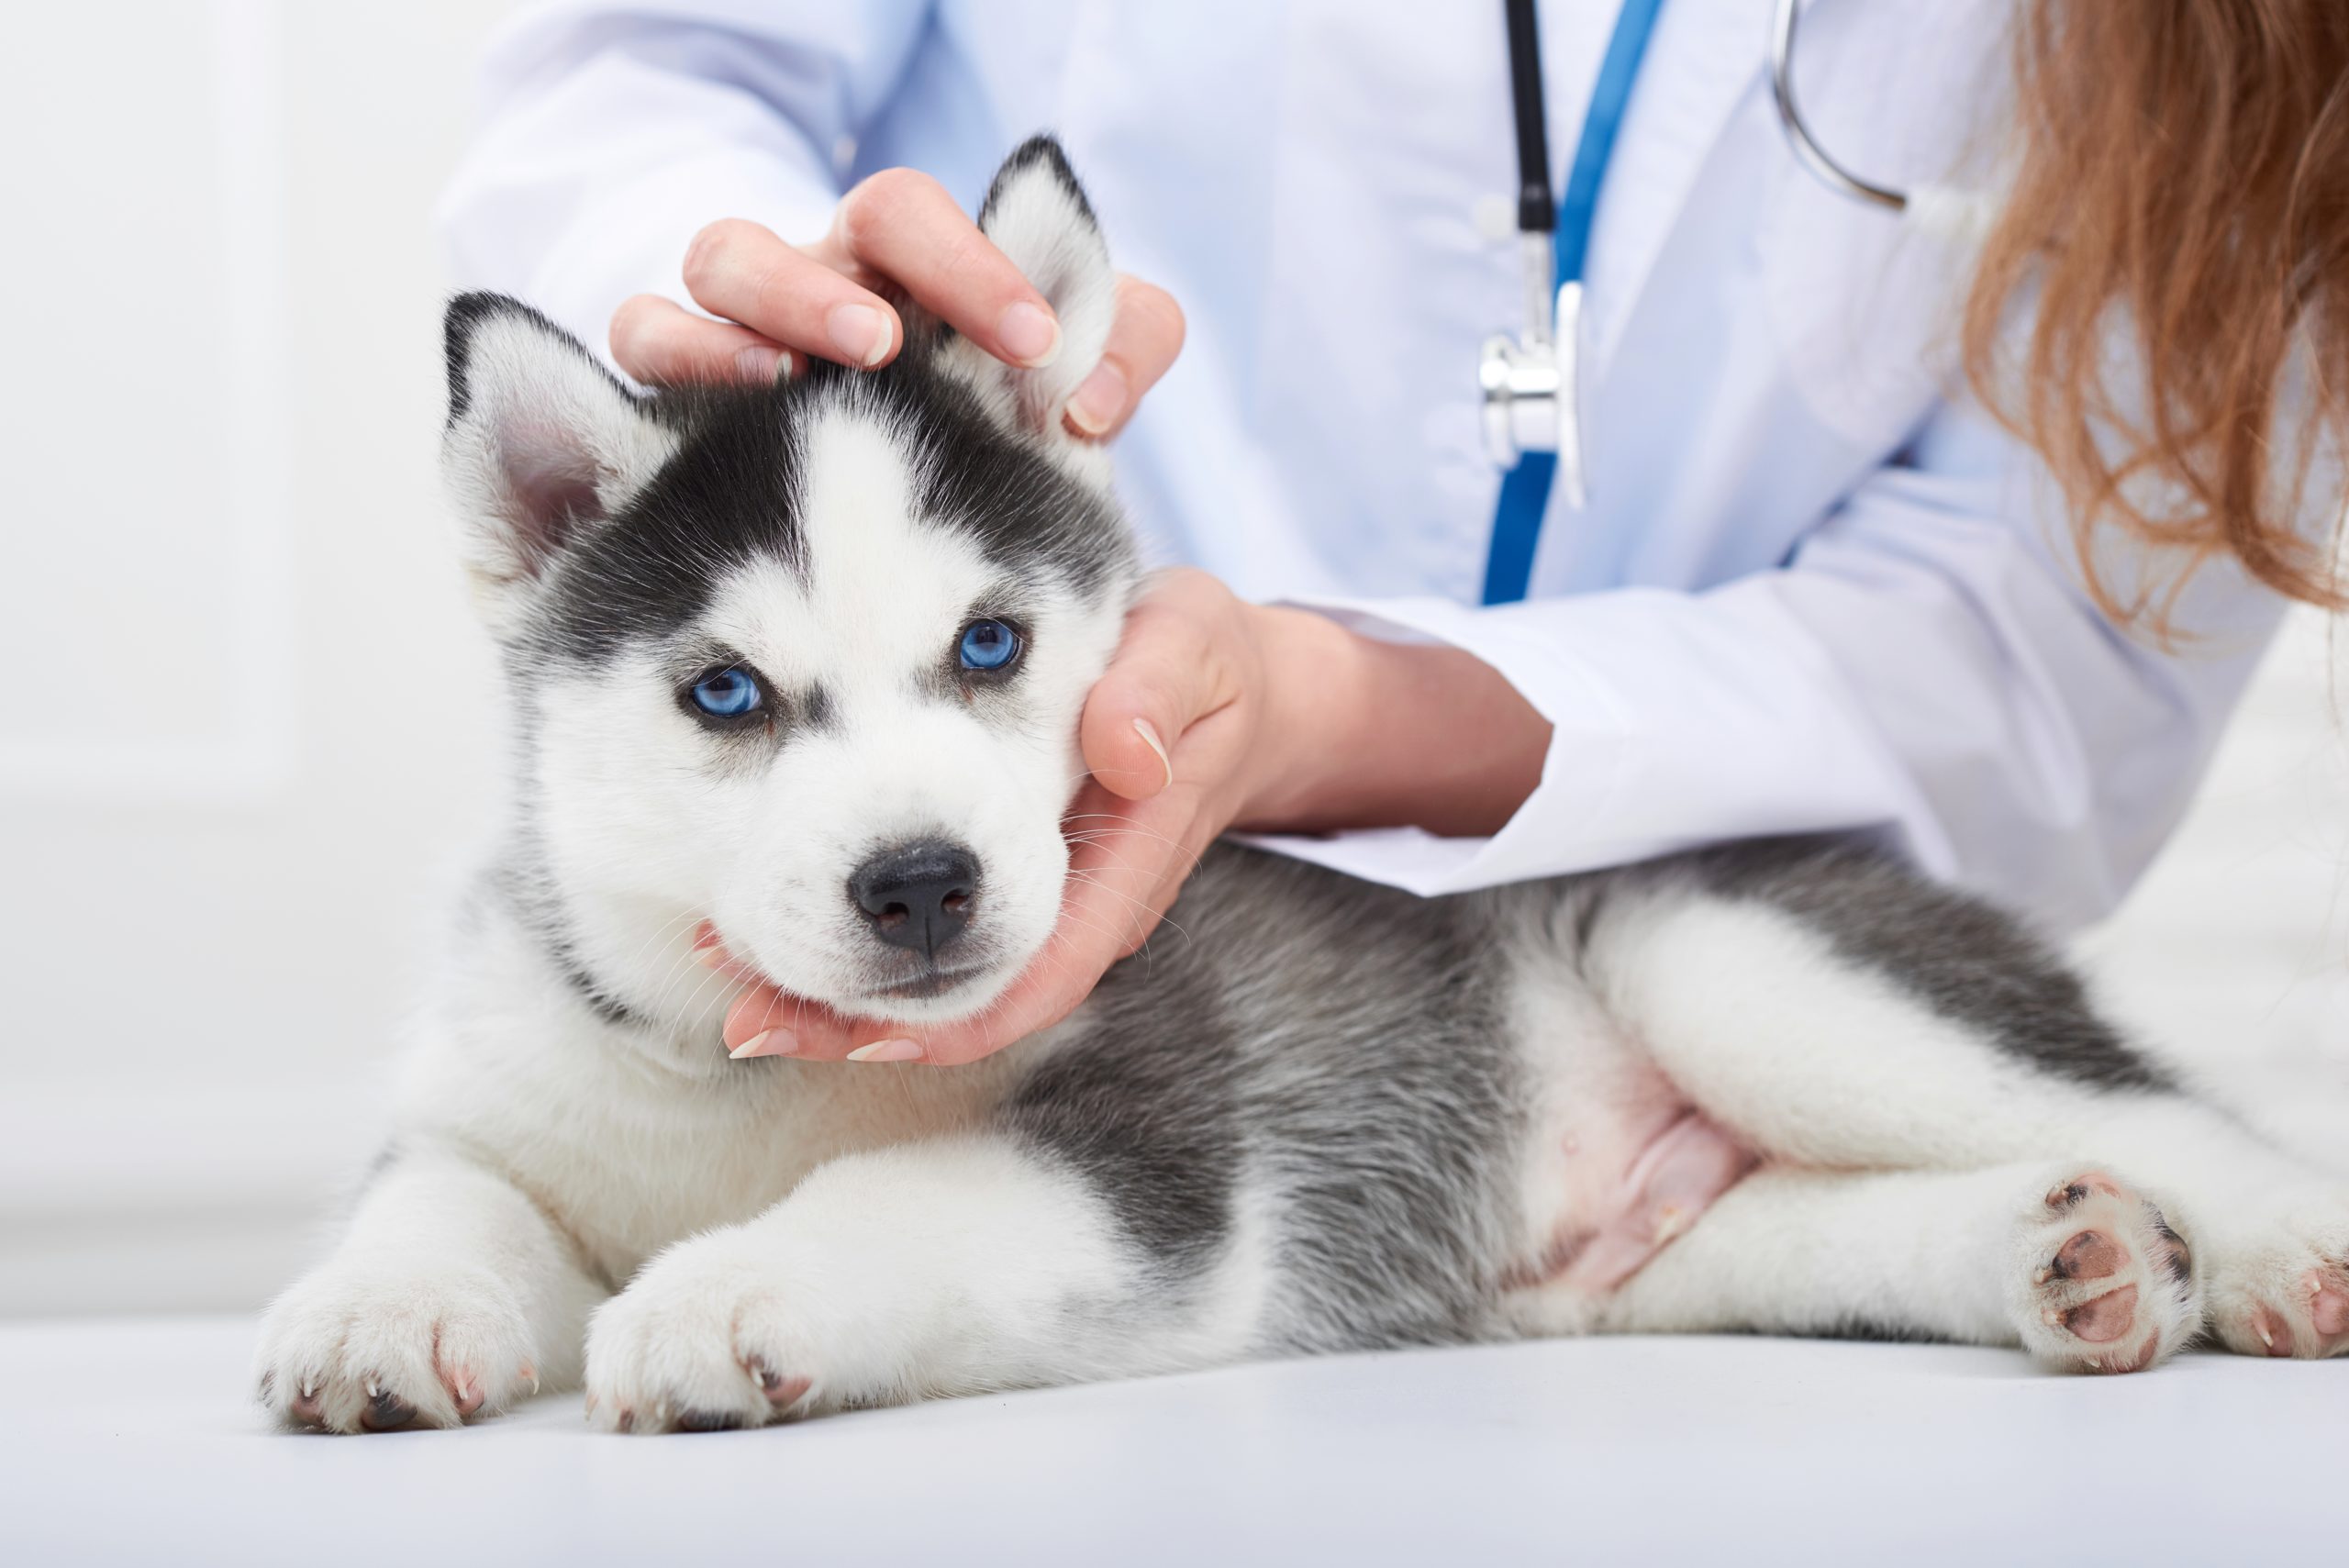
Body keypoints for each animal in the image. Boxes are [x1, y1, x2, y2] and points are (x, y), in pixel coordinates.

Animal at [257, 138, 2349, 1436]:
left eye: (992, 646)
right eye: (724, 691)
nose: (922, 883)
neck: (748, 1081)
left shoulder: (1157, 1160)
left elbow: (901, 1196)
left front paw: (722, 1289)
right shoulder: (503, 1087)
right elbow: (443, 1194)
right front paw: (374, 1305)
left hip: (1727, 953)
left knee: (2164, 1115)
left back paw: (2272, 1249)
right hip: (1648, 1259)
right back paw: (2066, 1252)